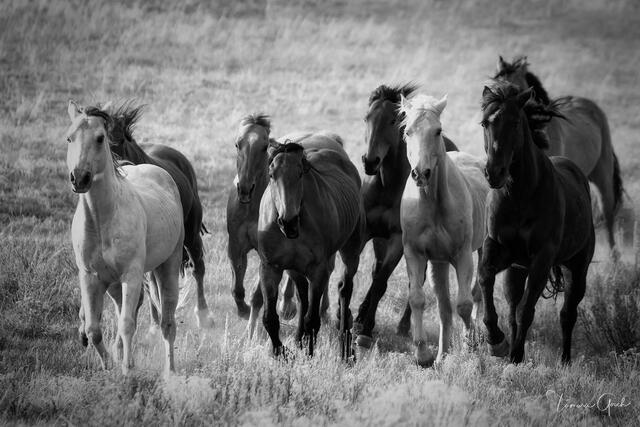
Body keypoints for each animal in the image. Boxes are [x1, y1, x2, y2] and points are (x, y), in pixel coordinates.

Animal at [65, 100, 184, 375]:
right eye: (69, 137)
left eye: (100, 138)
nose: (80, 178)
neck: (102, 221)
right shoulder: (90, 276)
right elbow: (93, 328)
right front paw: (108, 365)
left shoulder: (132, 274)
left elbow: (128, 323)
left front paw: (128, 369)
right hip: (114, 284)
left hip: (168, 267)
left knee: (167, 322)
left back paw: (170, 371)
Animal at [256, 135, 365, 359]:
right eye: (271, 175)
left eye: (300, 173)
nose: (287, 222)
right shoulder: (270, 267)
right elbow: (270, 318)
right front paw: (282, 353)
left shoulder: (318, 270)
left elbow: (312, 320)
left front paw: (309, 356)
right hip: (294, 268)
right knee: (302, 295)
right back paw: (299, 339)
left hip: (351, 250)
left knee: (345, 288)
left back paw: (345, 348)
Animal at [354, 84, 460, 348]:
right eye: (367, 118)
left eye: (393, 121)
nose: (370, 161)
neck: (386, 186)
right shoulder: (366, 232)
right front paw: (355, 319)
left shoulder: (397, 241)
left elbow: (381, 282)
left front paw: (365, 330)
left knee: (416, 281)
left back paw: (403, 326)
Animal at [398, 93, 488, 366]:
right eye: (407, 131)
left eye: (437, 131)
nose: (421, 173)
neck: (433, 204)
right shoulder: (416, 254)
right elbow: (418, 299)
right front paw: (423, 355)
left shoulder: (462, 255)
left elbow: (464, 304)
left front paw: (471, 346)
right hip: (438, 264)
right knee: (444, 309)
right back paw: (441, 357)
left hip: (482, 250)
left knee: (477, 293)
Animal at [479, 80, 595, 364]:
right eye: (485, 123)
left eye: (515, 123)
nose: (494, 173)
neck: (520, 196)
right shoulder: (498, 249)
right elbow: (486, 279)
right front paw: (496, 342)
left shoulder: (542, 259)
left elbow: (526, 311)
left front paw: (516, 355)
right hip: (516, 271)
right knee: (513, 308)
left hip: (576, 269)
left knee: (567, 314)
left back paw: (564, 361)